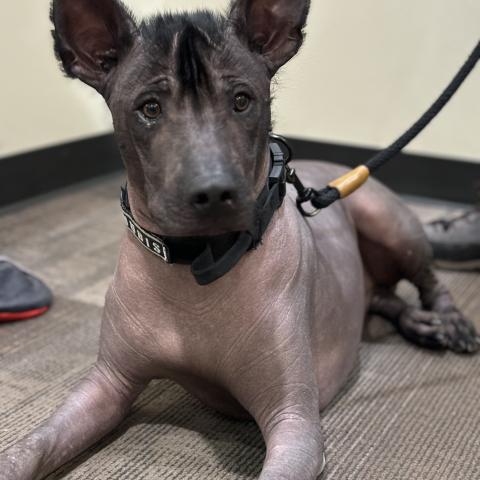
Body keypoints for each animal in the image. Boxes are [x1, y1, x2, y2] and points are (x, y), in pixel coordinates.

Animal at [1, 0, 479, 478]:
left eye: (242, 101)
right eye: (150, 108)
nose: (214, 192)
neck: (196, 266)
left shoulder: (294, 423)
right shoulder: (107, 384)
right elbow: (32, 446)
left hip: (388, 221)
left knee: (428, 280)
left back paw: (448, 321)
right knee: (384, 297)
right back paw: (418, 322)